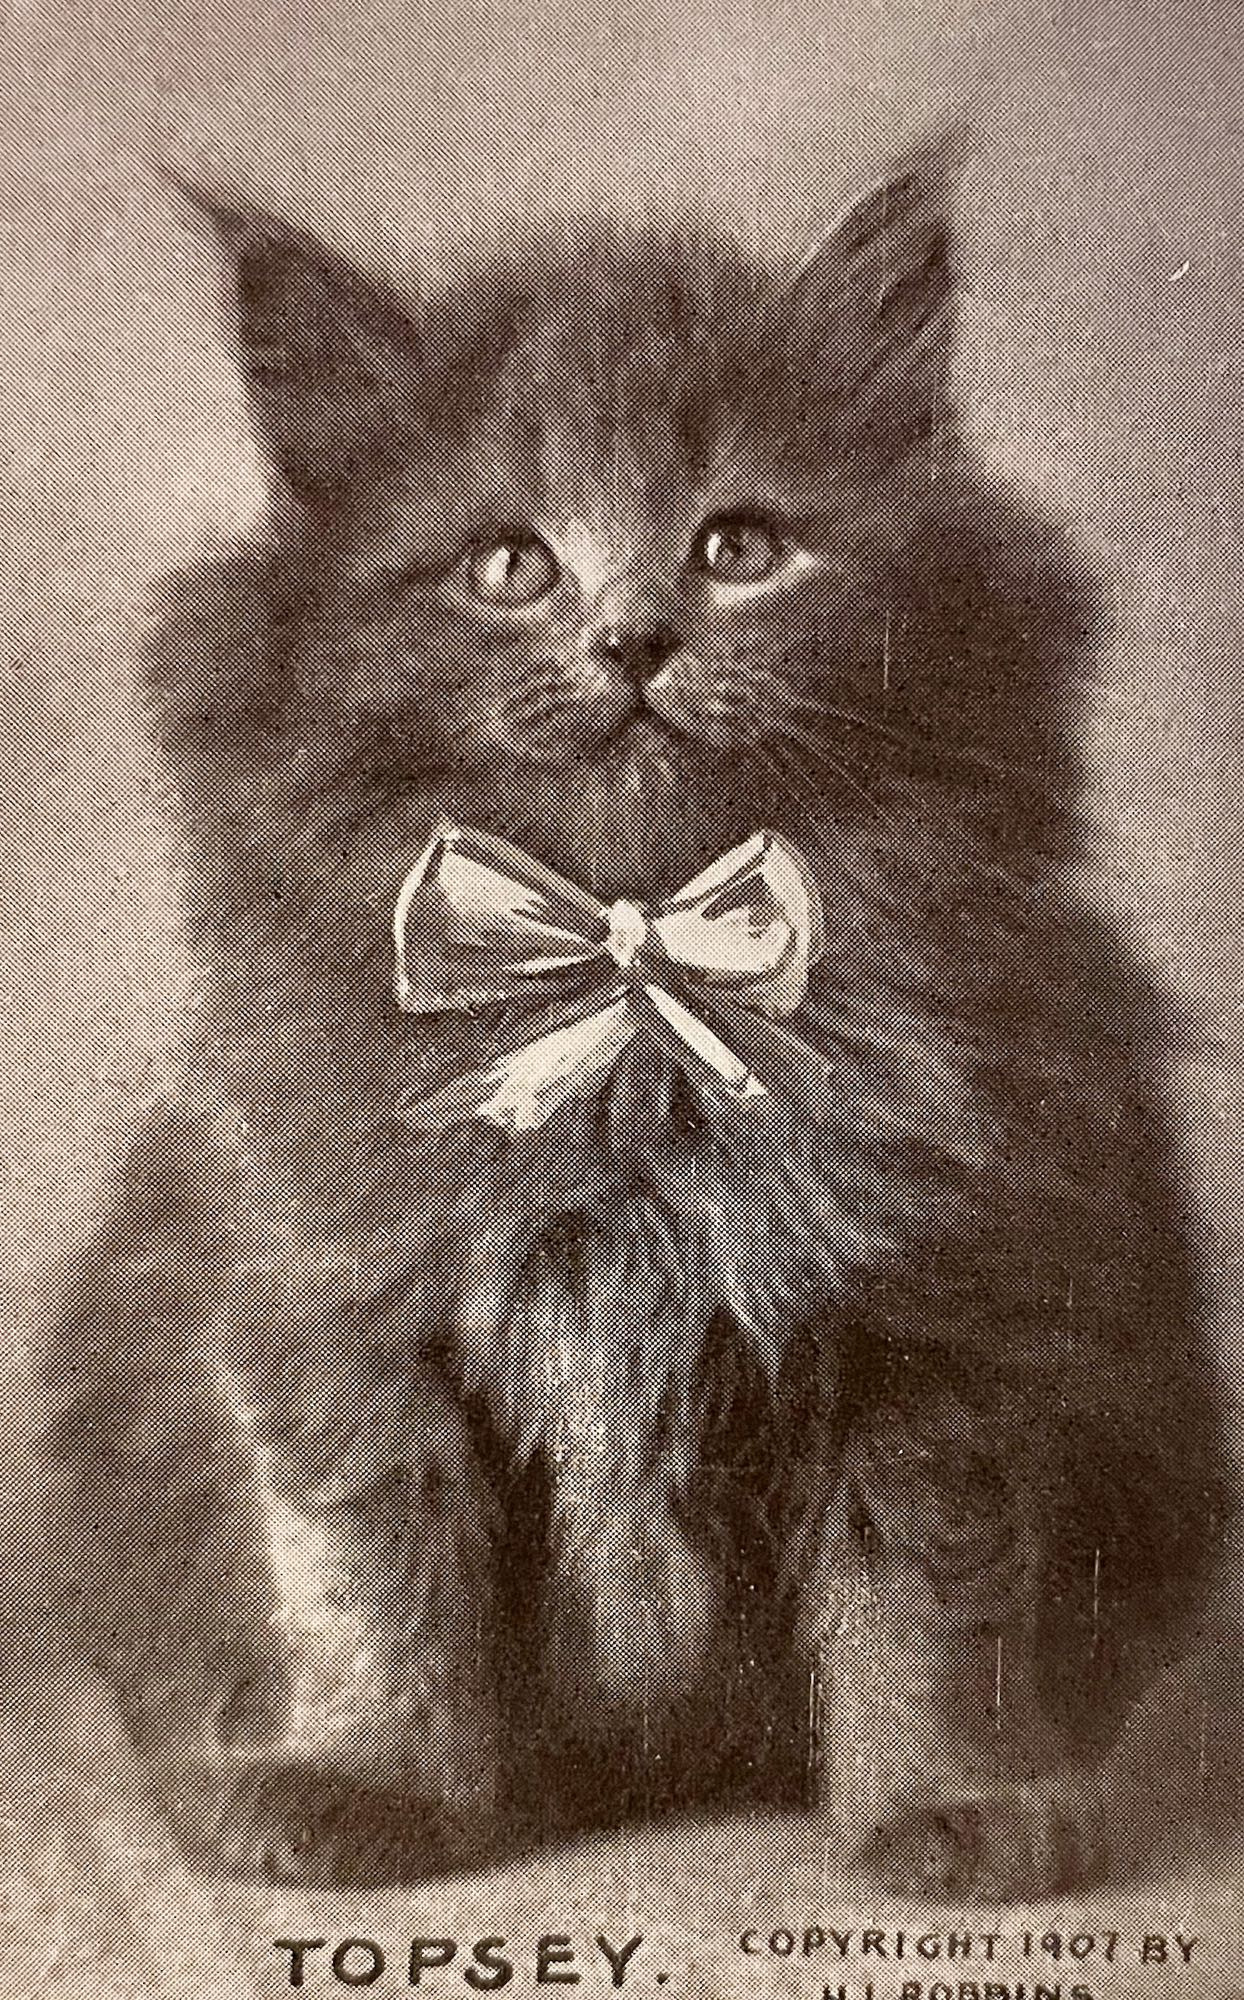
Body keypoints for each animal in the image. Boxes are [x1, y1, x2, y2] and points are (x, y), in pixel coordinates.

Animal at [34, 137, 1232, 1888]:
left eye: (738, 547)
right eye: (507, 566)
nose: (634, 640)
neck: (635, 995)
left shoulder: (942, 1320)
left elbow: (929, 1605)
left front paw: (952, 1806)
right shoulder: (335, 1305)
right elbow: (372, 1578)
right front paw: (365, 1786)